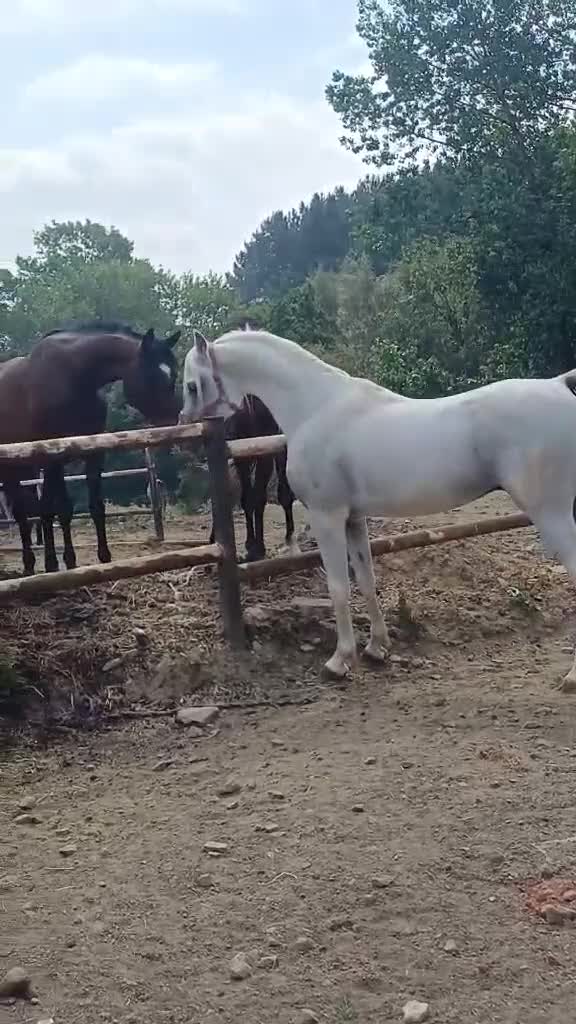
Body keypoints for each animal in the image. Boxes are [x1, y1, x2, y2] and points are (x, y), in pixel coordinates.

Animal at [0, 321, 180, 575]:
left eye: (173, 373)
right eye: (153, 375)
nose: (171, 420)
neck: (74, 377)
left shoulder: (92, 454)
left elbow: (91, 506)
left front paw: (101, 558)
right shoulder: (53, 459)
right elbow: (55, 509)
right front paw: (57, 563)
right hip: (11, 469)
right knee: (22, 514)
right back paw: (29, 566)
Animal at [180, 326, 576, 685]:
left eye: (191, 386)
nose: (187, 434)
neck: (315, 408)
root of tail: (559, 385)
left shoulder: (327, 517)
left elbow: (338, 587)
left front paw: (339, 661)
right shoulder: (354, 520)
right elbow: (366, 579)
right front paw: (376, 648)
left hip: (552, 513)